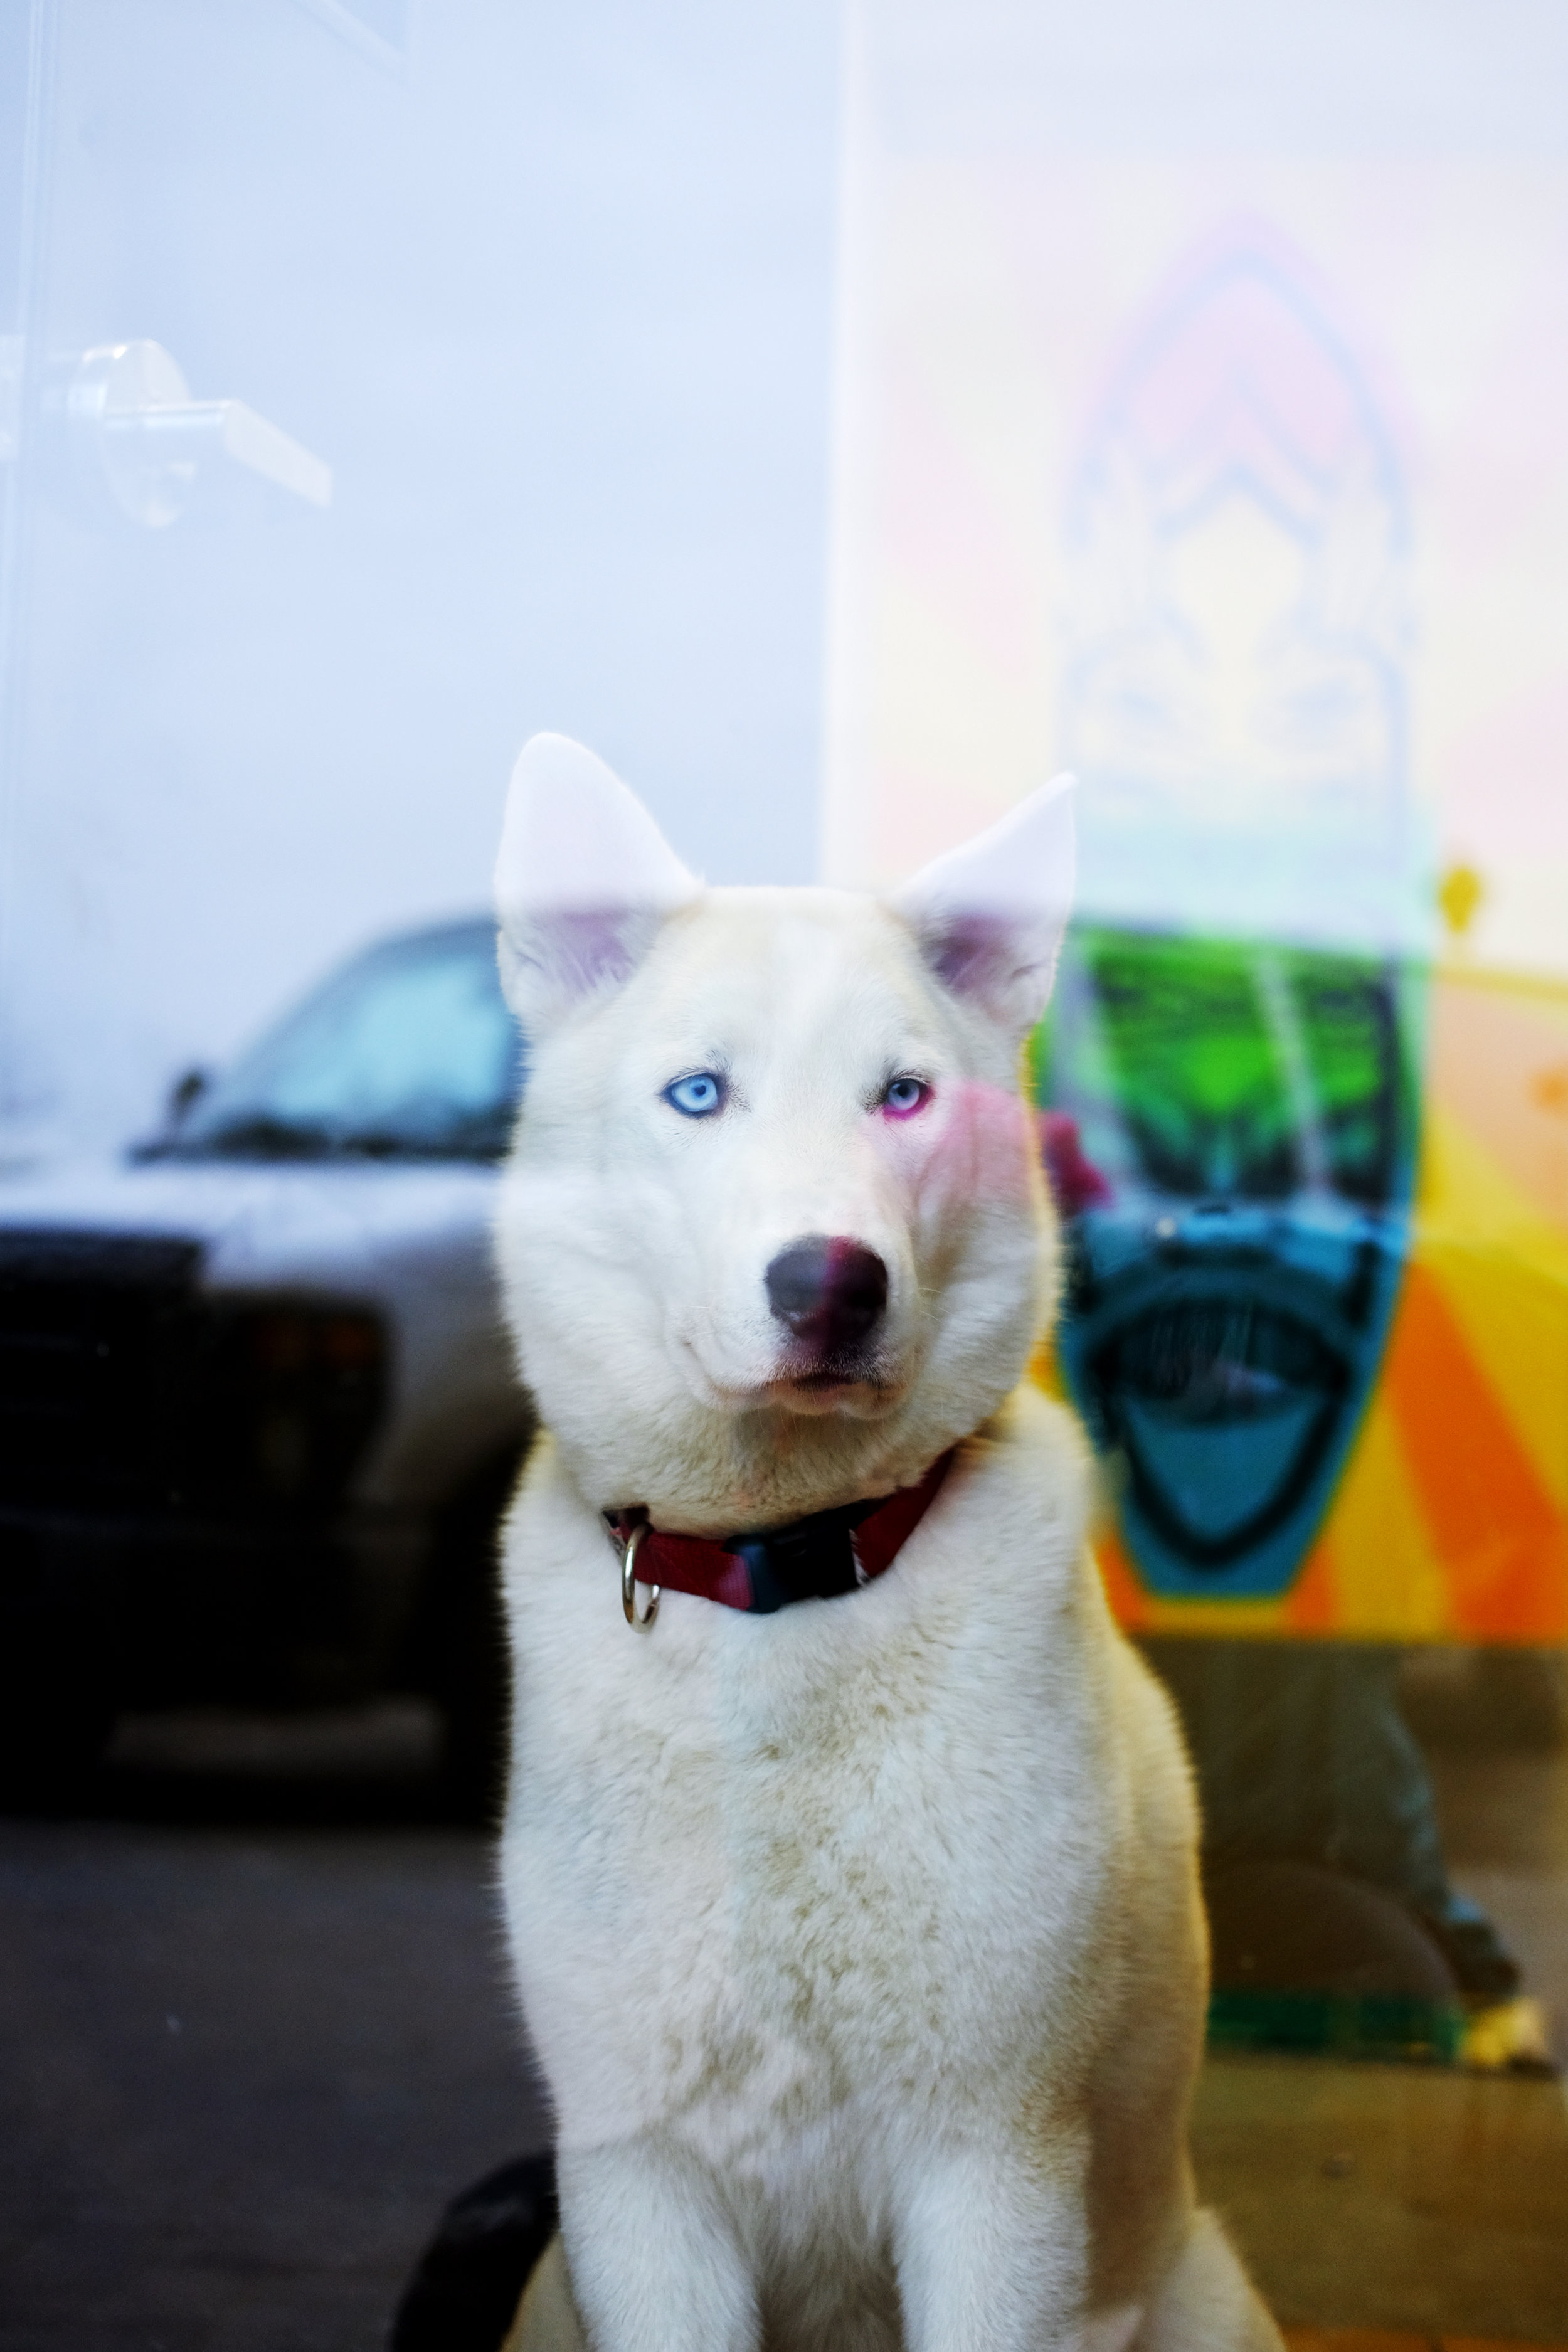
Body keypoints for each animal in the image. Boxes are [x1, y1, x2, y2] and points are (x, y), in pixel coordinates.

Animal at [494, 734, 1288, 2352]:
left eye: (904, 1097)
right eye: (698, 1093)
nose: (831, 1284)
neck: (776, 1577)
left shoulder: (997, 2169)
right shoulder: (637, 2175)